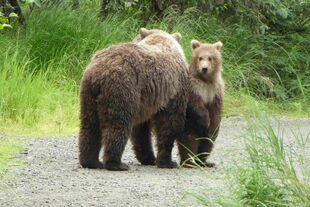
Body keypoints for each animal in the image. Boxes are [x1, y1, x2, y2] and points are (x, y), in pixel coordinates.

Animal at [77, 27, 189, 170]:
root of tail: (99, 72)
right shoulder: (174, 90)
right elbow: (169, 124)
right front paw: (168, 162)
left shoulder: (146, 101)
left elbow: (140, 131)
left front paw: (149, 158)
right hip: (123, 88)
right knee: (118, 124)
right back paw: (116, 163)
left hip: (88, 93)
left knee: (89, 125)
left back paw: (91, 162)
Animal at [178, 39, 224, 168]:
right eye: (200, 58)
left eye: (210, 58)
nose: (204, 68)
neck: (206, 80)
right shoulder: (193, 87)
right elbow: (196, 105)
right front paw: (206, 120)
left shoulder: (215, 90)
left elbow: (216, 110)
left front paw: (212, 124)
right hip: (189, 126)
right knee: (189, 142)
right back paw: (189, 162)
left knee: (208, 143)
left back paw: (204, 162)